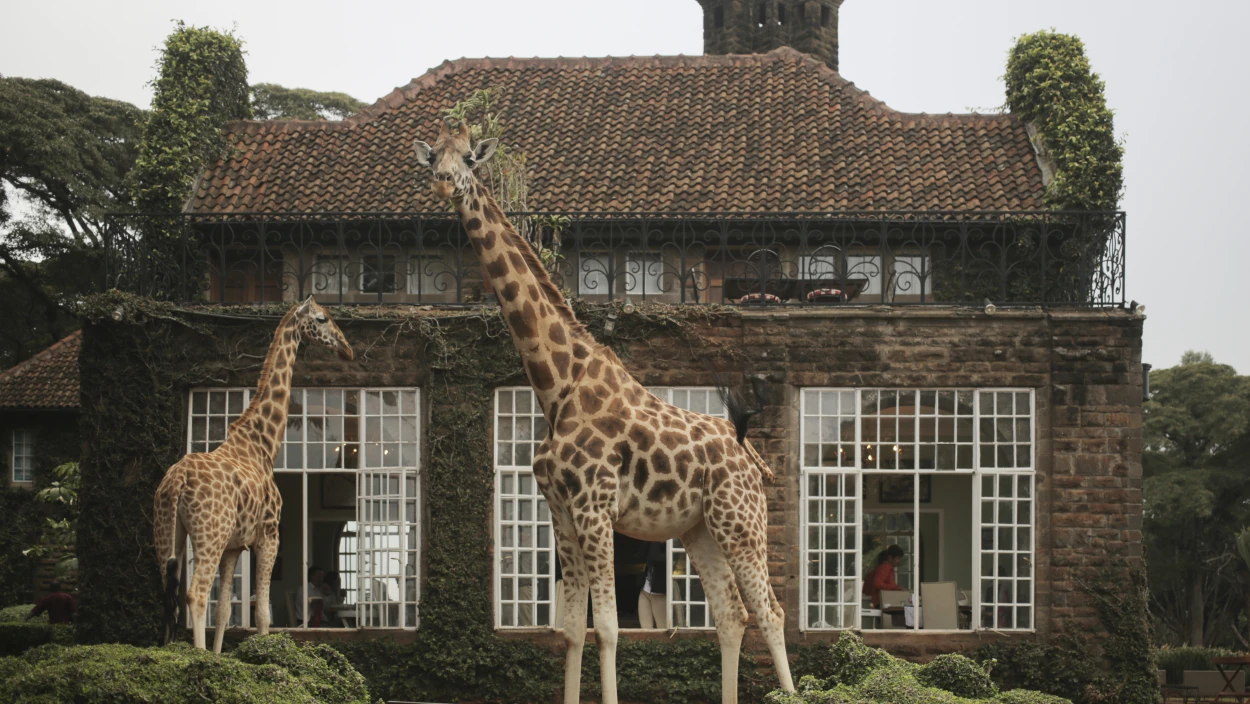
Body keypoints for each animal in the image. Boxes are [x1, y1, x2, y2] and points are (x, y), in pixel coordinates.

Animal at [153, 296, 353, 652]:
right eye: (322, 319)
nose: (348, 350)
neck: (262, 444)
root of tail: (177, 483)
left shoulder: (235, 545)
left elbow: (223, 611)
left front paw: (222, 656)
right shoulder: (268, 533)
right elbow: (262, 614)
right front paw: (262, 654)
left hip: (167, 537)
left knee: (170, 600)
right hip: (209, 534)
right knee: (195, 594)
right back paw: (198, 658)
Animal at [415, 119, 795, 704]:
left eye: (470, 160)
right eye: (433, 156)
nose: (442, 182)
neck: (557, 387)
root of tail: (749, 452)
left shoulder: (595, 508)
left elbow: (609, 628)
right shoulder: (560, 512)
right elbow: (572, 629)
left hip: (741, 520)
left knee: (771, 612)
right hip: (699, 528)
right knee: (732, 614)